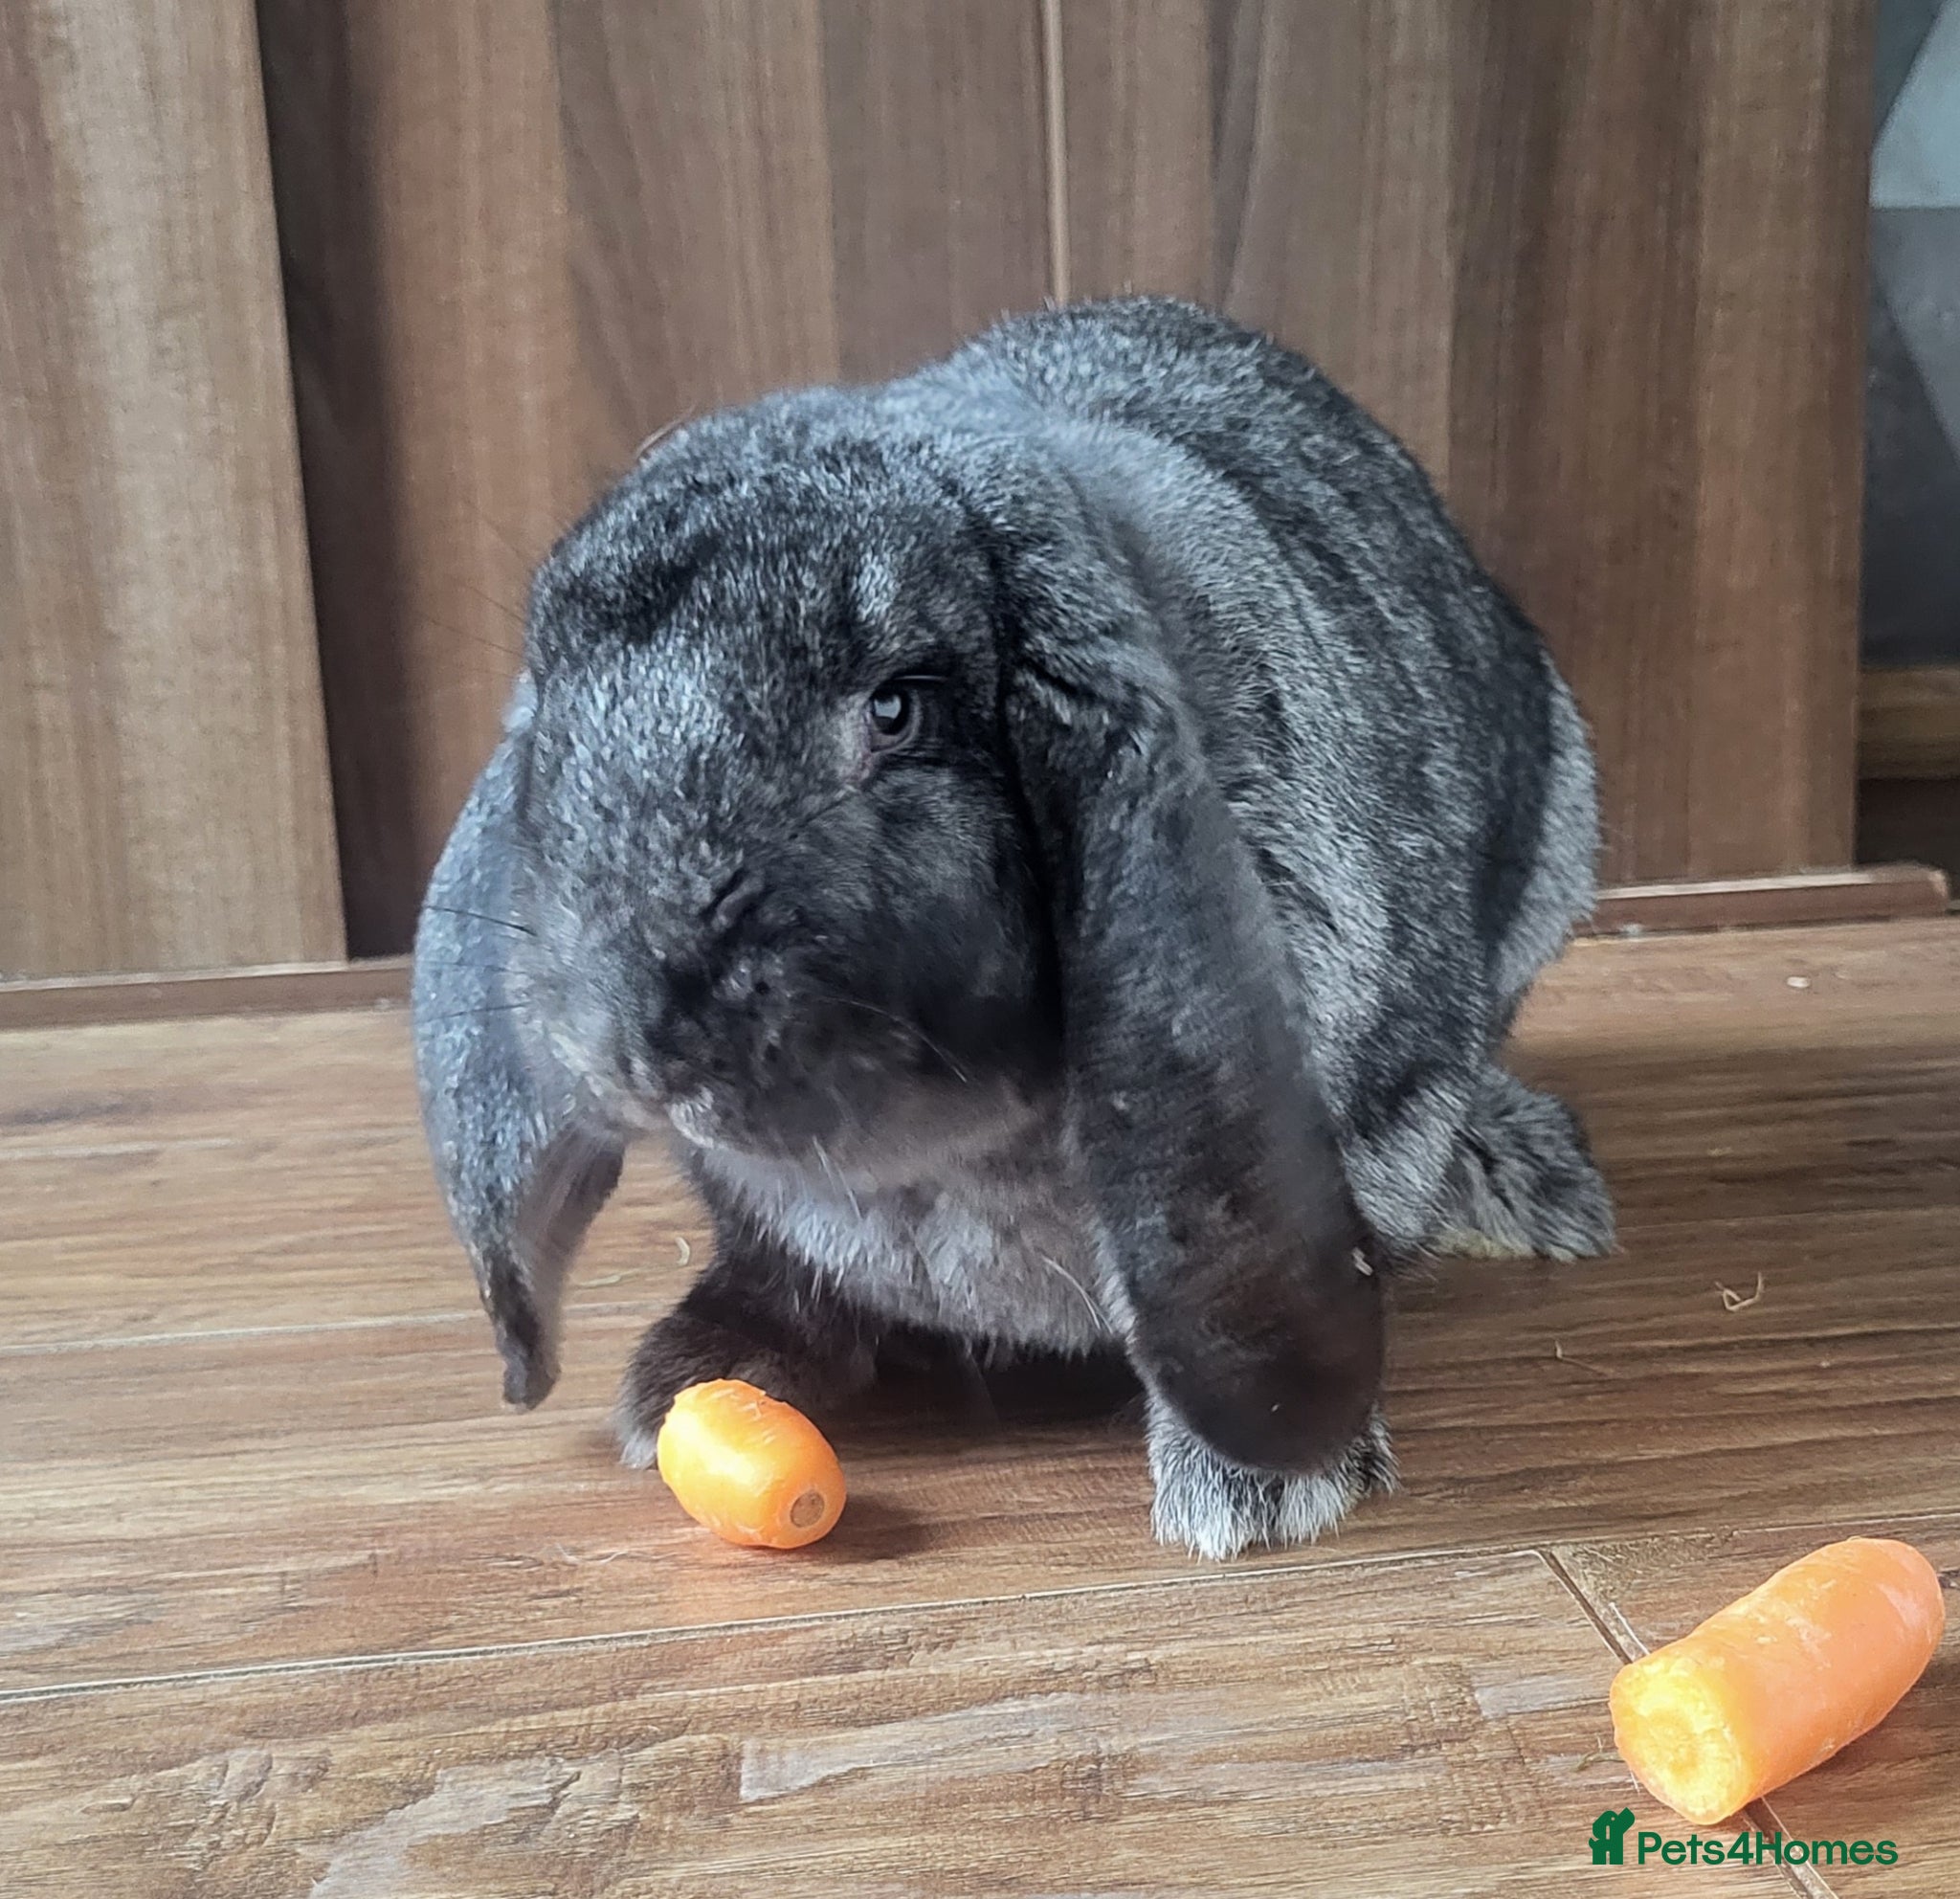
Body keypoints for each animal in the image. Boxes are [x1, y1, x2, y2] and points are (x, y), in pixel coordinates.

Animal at [412, 296, 1613, 1561]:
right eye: (555, 702)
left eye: (897, 707)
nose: (628, 1047)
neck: (938, 1158)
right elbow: (781, 1269)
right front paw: (687, 1379)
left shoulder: (1381, 1109)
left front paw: (1254, 1496)